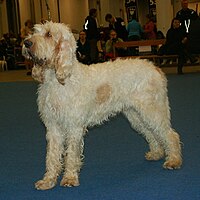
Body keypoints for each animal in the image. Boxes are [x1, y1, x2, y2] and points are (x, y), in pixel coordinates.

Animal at [22, 21, 182, 191]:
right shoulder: (53, 127)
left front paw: (70, 178)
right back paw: (157, 153)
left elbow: (71, 155)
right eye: (34, 31)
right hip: (136, 115)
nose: (26, 43)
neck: (58, 80)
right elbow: (52, 156)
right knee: (152, 133)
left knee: (170, 134)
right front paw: (48, 180)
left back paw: (174, 160)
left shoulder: (74, 127)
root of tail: (155, 68)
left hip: (152, 110)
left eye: (49, 34)